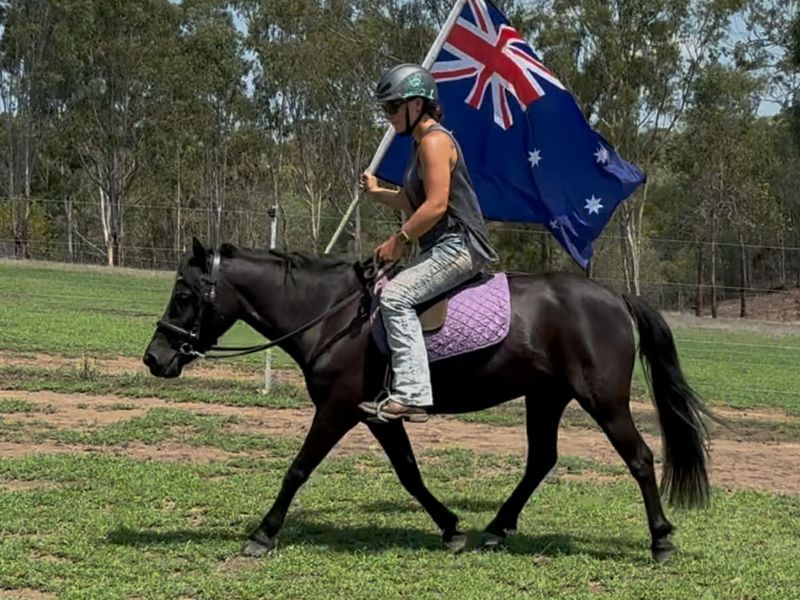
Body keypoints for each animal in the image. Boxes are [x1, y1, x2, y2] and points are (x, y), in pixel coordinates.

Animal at [143, 238, 713, 562]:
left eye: (185, 294)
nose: (154, 358)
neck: (333, 314)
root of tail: (615, 296)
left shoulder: (337, 409)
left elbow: (298, 469)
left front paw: (263, 534)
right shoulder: (378, 416)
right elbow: (410, 475)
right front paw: (451, 528)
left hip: (603, 400)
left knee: (640, 458)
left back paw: (661, 541)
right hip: (545, 397)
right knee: (541, 461)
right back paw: (496, 529)